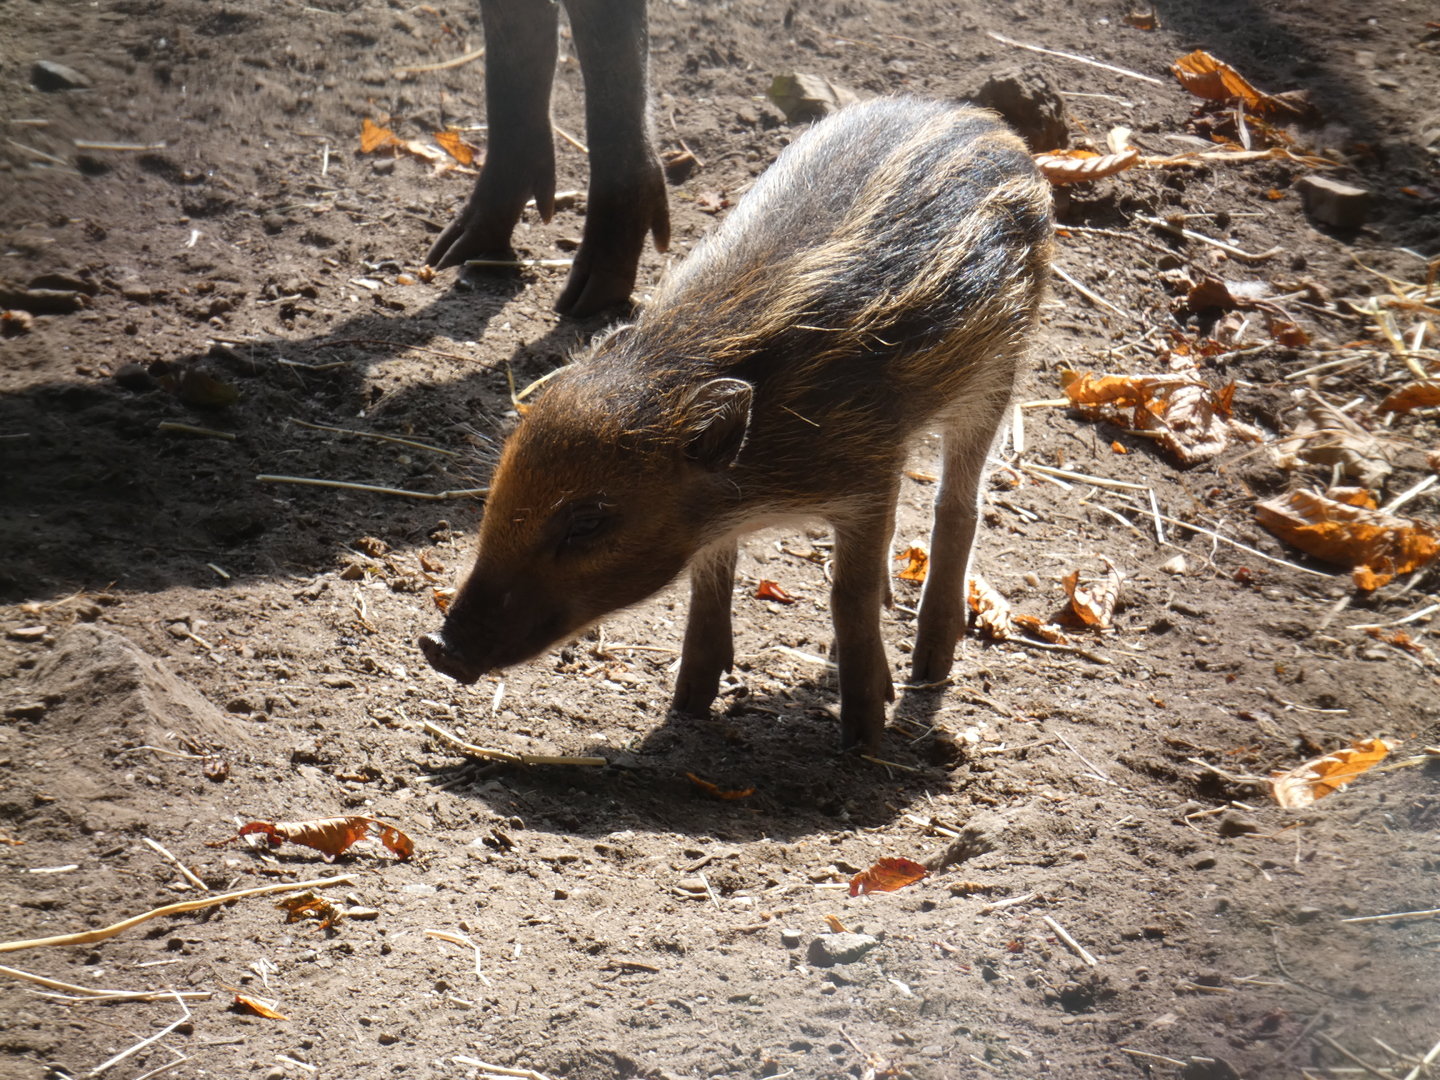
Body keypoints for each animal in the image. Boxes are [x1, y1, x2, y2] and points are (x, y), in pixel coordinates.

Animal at [420, 97, 1054, 753]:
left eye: (588, 522)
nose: (437, 647)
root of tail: (988, 122)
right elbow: (710, 577)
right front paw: (688, 705)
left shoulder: (867, 477)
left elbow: (845, 596)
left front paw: (862, 736)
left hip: (997, 372)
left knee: (958, 504)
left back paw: (930, 666)